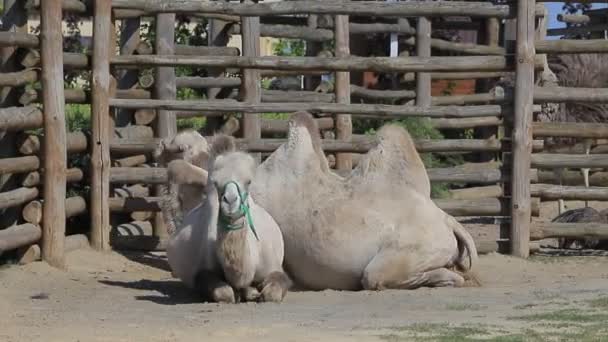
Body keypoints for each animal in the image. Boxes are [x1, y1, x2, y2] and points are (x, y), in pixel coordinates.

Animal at [165, 134, 290, 302]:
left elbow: (273, 292)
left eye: (249, 181)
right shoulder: (203, 270)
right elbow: (223, 292)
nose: (230, 201)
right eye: (215, 182)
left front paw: (255, 292)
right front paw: (243, 293)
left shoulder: (274, 266)